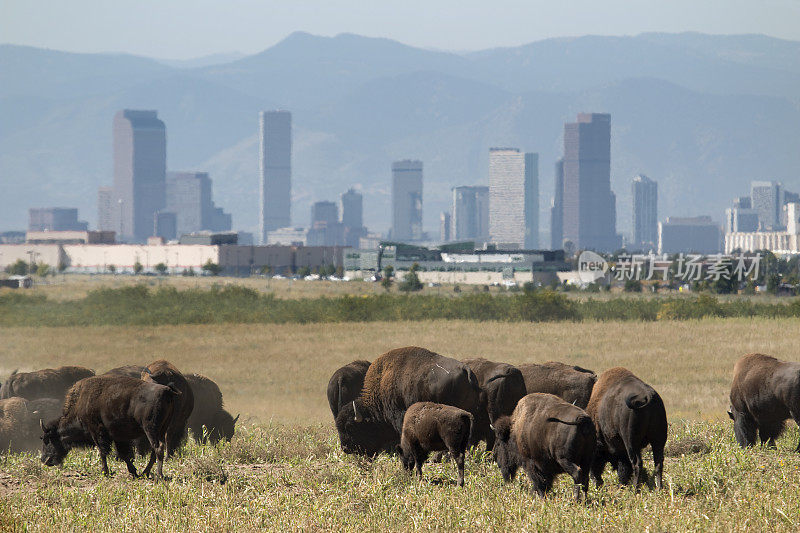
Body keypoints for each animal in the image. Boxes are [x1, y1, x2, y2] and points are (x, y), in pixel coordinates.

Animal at [39, 374, 180, 478]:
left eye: (47, 440)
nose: (44, 460)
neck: (81, 404)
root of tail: (166, 390)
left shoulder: (97, 432)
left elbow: (103, 452)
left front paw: (105, 472)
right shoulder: (118, 437)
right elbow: (124, 454)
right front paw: (133, 472)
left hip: (150, 429)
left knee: (158, 448)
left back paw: (158, 475)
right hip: (161, 429)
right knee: (154, 450)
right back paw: (145, 473)